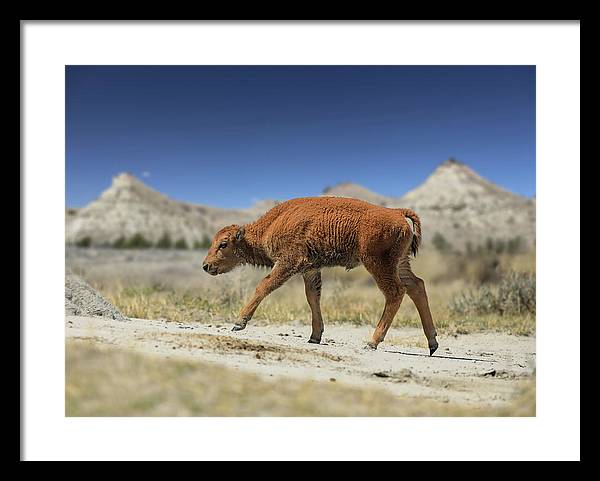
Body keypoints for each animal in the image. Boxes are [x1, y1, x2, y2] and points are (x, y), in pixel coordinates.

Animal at [202, 197, 436, 354]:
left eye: (223, 244)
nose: (206, 265)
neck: (270, 225)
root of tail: (397, 213)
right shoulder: (310, 270)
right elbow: (313, 298)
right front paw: (315, 337)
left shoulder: (288, 263)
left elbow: (264, 286)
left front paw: (239, 323)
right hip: (400, 263)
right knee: (416, 286)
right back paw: (432, 343)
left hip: (378, 264)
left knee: (395, 292)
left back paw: (372, 342)